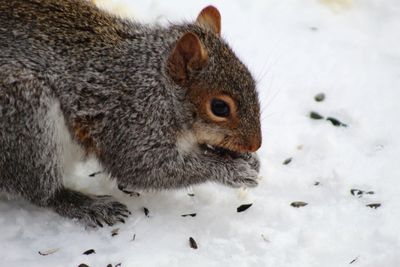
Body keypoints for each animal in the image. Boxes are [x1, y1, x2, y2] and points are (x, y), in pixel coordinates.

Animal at [0, 0, 262, 228]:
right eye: (220, 107)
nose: (255, 144)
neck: (155, 82)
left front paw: (248, 160)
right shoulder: (129, 120)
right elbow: (146, 168)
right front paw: (233, 171)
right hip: (29, 120)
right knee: (42, 191)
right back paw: (87, 205)